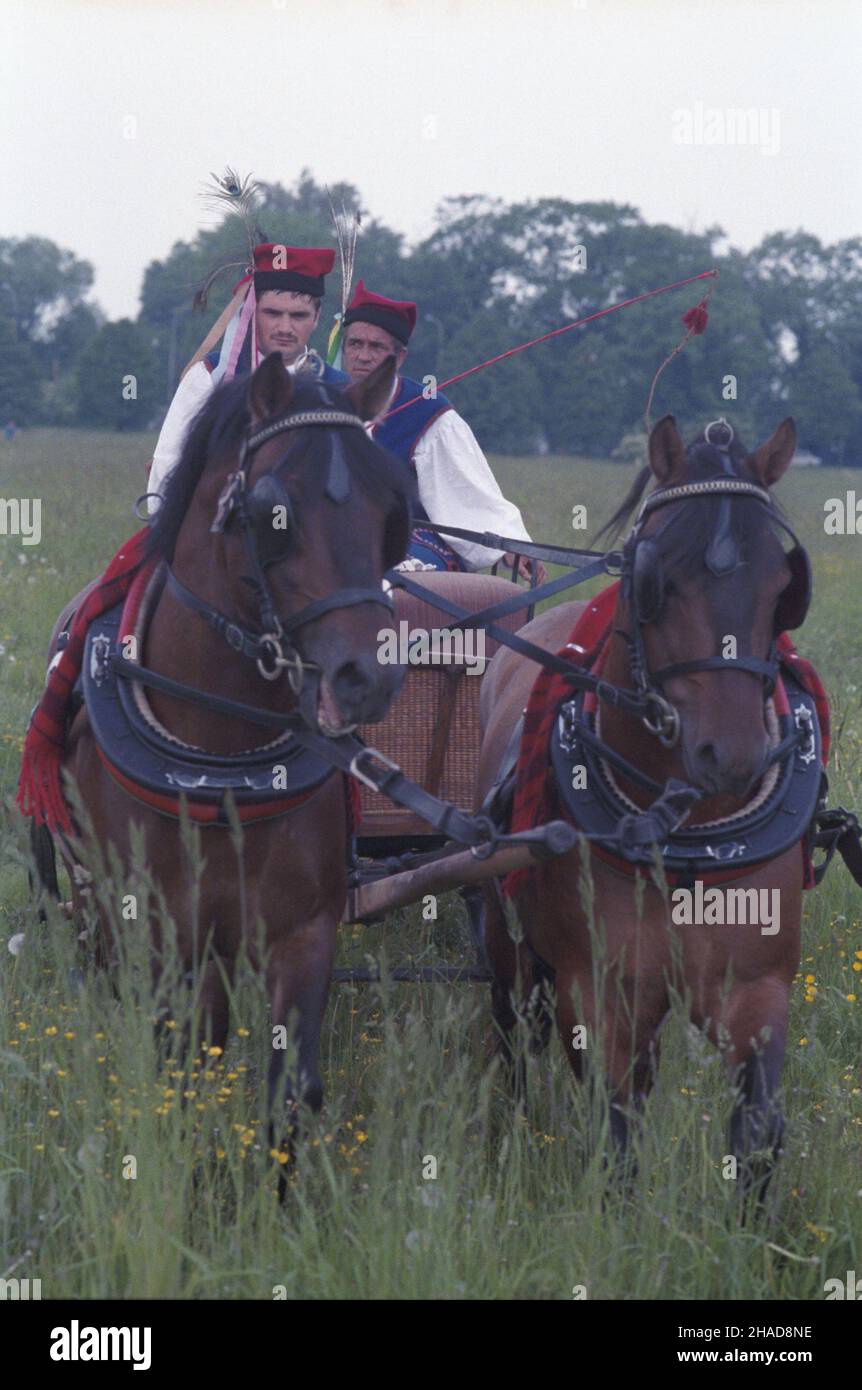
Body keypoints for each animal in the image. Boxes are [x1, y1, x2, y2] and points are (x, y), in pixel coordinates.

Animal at [59, 353, 411, 1134]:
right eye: (274, 514)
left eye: (392, 512)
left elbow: (292, 1090)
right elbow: (177, 1073)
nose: (367, 677)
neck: (219, 764)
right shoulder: (156, 935)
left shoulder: (304, 931)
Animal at [478, 414, 817, 1195]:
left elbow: (759, 1133)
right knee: (512, 1042)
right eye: (657, 578)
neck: (685, 834)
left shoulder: (757, 990)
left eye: (784, 581)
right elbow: (616, 1139)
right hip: (505, 941)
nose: (733, 755)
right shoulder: (599, 994)